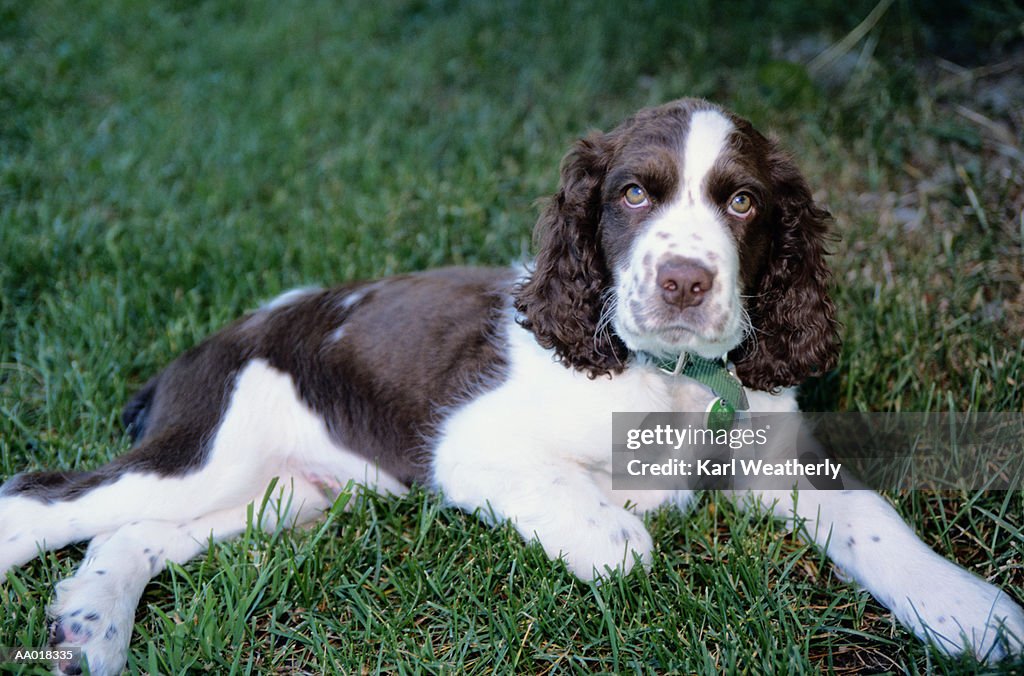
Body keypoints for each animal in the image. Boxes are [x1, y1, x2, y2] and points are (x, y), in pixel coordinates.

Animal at [2, 97, 1024, 671]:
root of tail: (201, 351)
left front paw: (968, 613)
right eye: (632, 194)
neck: (666, 380)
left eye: (742, 202)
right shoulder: (469, 446)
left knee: (129, 532)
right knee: (40, 499)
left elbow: (870, 516)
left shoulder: (772, 455)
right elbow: (610, 532)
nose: (684, 282)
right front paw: (615, 532)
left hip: (286, 495)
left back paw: (90, 631)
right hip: (208, 448)